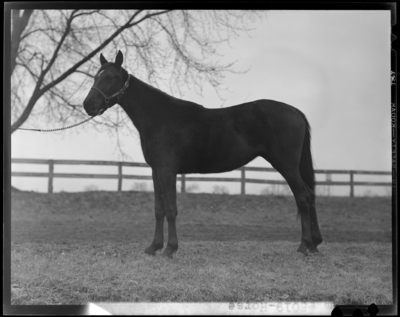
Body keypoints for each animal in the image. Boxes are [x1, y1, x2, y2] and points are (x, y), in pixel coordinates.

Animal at [83, 50, 322, 256]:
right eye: (96, 76)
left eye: (110, 77)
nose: (88, 105)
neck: (159, 116)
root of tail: (295, 111)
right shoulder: (156, 171)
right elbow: (159, 209)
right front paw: (153, 247)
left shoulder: (167, 170)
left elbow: (171, 208)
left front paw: (170, 249)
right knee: (310, 195)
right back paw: (314, 244)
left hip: (286, 165)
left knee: (303, 197)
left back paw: (304, 246)